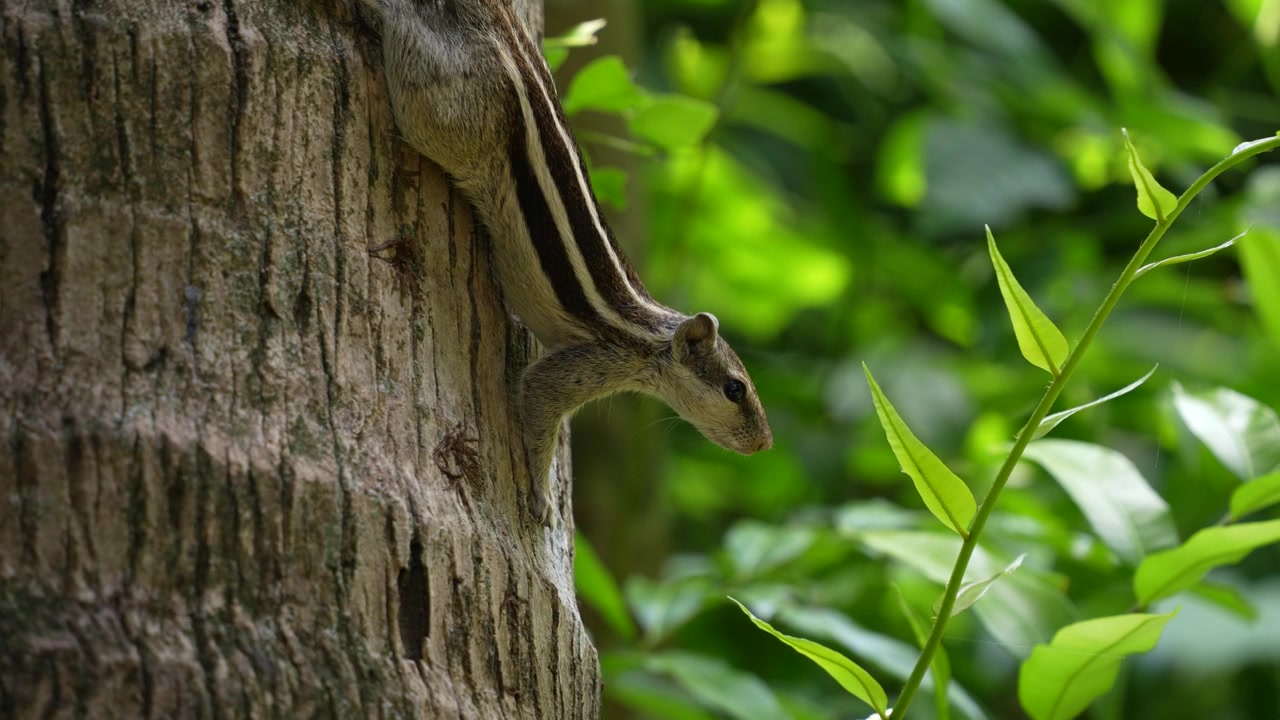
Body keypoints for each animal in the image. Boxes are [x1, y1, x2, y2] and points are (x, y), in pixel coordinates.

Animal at [357, 0, 772, 526]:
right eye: (735, 390)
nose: (765, 443)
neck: (650, 338)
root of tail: (506, 36)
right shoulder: (589, 364)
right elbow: (538, 402)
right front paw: (540, 495)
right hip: (448, 115)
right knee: (407, 41)